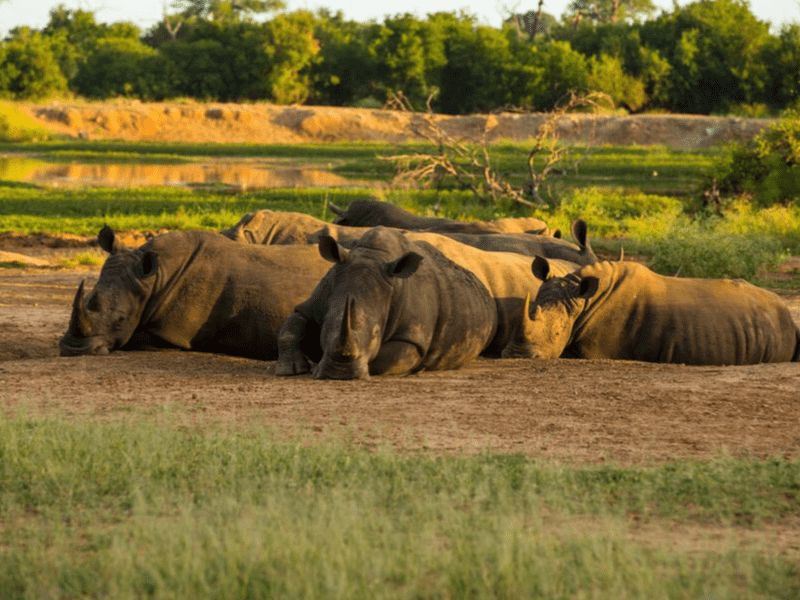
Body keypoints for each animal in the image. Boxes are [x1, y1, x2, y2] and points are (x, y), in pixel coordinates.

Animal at [60, 230, 331, 359]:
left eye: (121, 320)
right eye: (89, 300)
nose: (73, 349)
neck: (154, 279)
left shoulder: (169, 333)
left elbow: (134, 338)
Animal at [276, 227, 497, 379]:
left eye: (376, 334)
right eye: (326, 328)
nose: (339, 374)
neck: (372, 255)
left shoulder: (412, 336)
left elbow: (387, 359)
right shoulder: (320, 297)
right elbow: (291, 326)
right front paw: (290, 370)